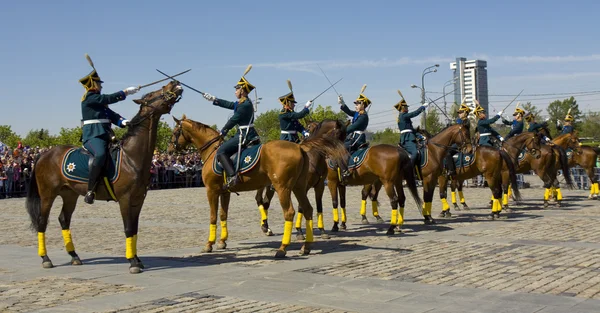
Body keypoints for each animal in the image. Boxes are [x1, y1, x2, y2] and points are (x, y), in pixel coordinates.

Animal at [25, 80, 184, 272]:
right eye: (153, 94)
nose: (174, 82)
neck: (131, 156)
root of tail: (44, 154)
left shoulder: (138, 199)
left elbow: (135, 229)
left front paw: (137, 259)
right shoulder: (125, 199)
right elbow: (128, 228)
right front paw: (132, 262)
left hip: (69, 195)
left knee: (64, 219)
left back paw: (74, 256)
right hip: (47, 195)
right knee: (42, 222)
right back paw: (45, 258)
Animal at [168, 114, 346, 256]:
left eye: (175, 132)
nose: (170, 150)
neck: (212, 151)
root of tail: (300, 148)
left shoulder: (211, 191)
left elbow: (213, 216)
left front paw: (209, 244)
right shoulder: (225, 192)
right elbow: (223, 215)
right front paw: (222, 242)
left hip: (283, 188)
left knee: (289, 212)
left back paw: (282, 248)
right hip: (297, 187)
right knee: (305, 209)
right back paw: (304, 246)